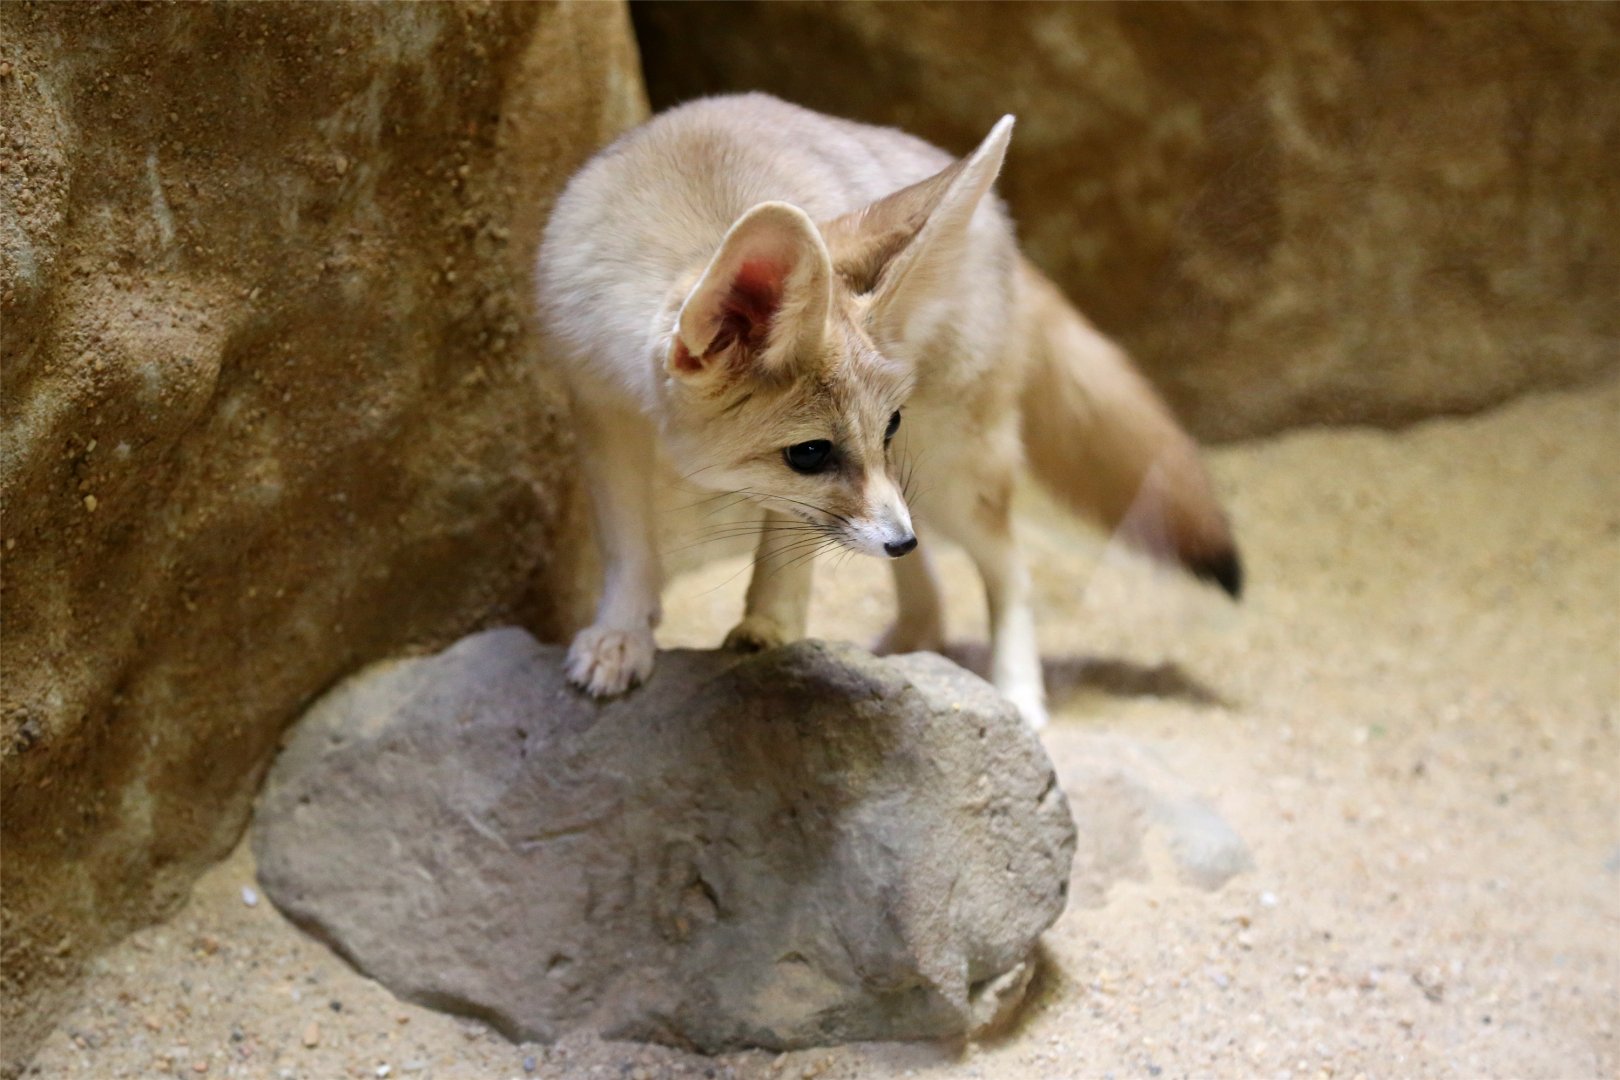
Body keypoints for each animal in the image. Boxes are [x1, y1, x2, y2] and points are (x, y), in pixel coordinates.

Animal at [537, 93, 1240, 730]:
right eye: (810, 452)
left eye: (888, 423)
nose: (898, 540)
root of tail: (1003, 228)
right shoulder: (600, 409)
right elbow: (629, 546)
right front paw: (622, 634)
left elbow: (786, 545)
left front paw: (771, 628)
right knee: (934, 574)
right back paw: (912, 637)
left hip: (955, 472)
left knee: (1011, 568)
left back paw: (1016, 692)